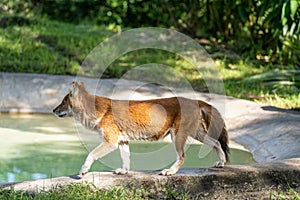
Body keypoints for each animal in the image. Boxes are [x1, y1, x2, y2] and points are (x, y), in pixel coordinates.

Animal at [52, 80, 229, 177]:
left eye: (62, 103)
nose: (53, 110)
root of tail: (196, 100)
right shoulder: (122, 141)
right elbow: (126, 159)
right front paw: (124, 172)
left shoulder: (110, 141)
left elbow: (91, 154)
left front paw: (83, 171)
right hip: (197, 133)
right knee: (217, 143)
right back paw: (221, 163)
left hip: (177, 136)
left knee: (183, 156)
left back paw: (169, 172)